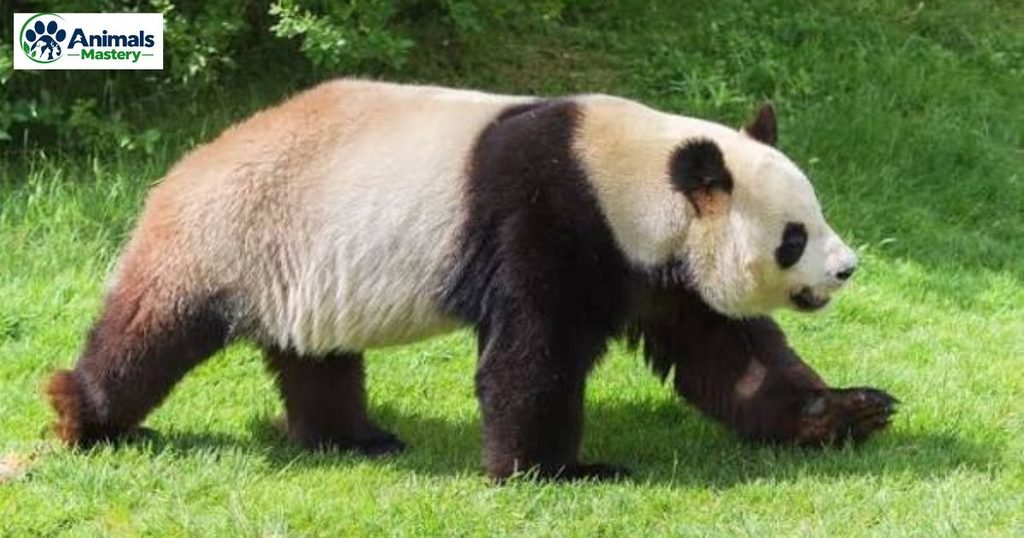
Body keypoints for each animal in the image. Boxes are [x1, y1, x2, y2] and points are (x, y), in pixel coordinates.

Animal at [46, 79, 897, 481]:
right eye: (794, 236)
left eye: (817, 217)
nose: (846, 267)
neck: (637, 176)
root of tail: (180, 167)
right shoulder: (552, 215)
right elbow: (532, 354)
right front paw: (558, 471)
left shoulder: (662, 269)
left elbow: (729, 356)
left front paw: (846, 412)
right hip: (227, 234)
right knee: (151, 334)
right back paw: (81, 414)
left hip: (304, 264)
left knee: (316, 357)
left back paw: (355, 438)